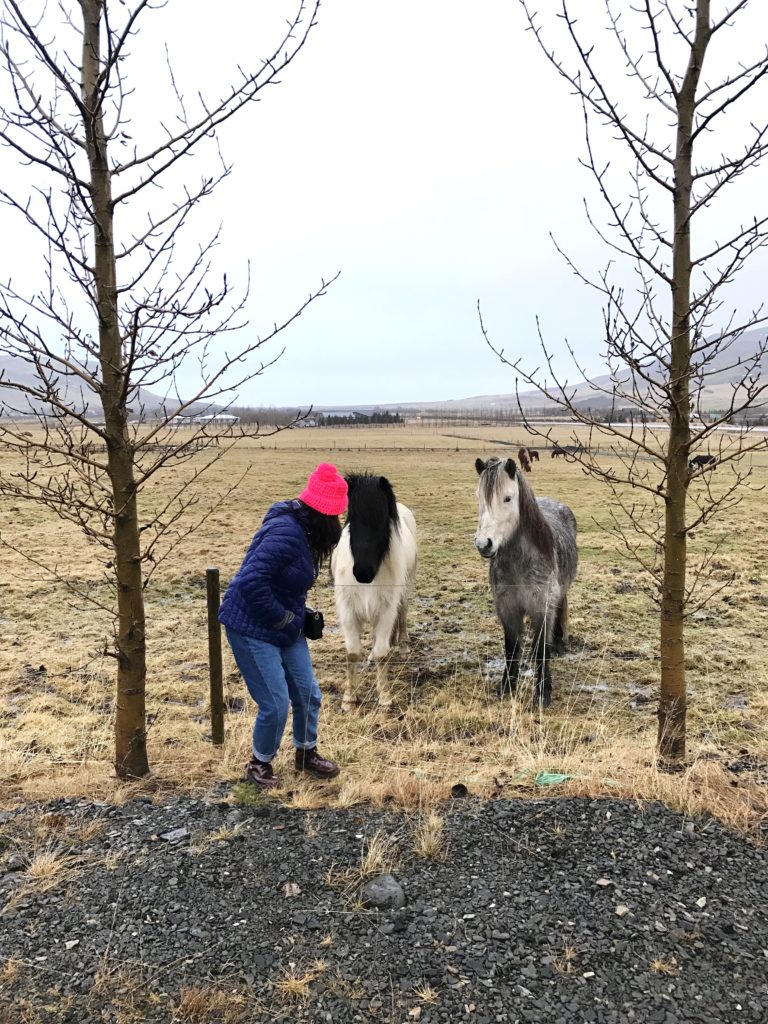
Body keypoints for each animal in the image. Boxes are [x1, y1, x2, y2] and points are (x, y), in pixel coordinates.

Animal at [329, 473, 417, 708]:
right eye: (350, 519)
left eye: (382, 521)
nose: (363, 572)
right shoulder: (348, 611)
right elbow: (352, 653)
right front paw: (349, 698)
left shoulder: (386, 611)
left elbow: (382, 654)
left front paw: (385, 696)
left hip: (404, 591)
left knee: (402, 614)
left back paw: (402, 645)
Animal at [475, 460, 577, 708]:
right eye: (479, 497)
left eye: (508, 498)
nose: (484, 544)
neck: (519, 562)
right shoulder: (508, 608)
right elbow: (511, 647)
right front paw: (507, 686)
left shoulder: (542, 606)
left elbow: (542, 649)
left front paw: (542, 693)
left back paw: (558, 646)